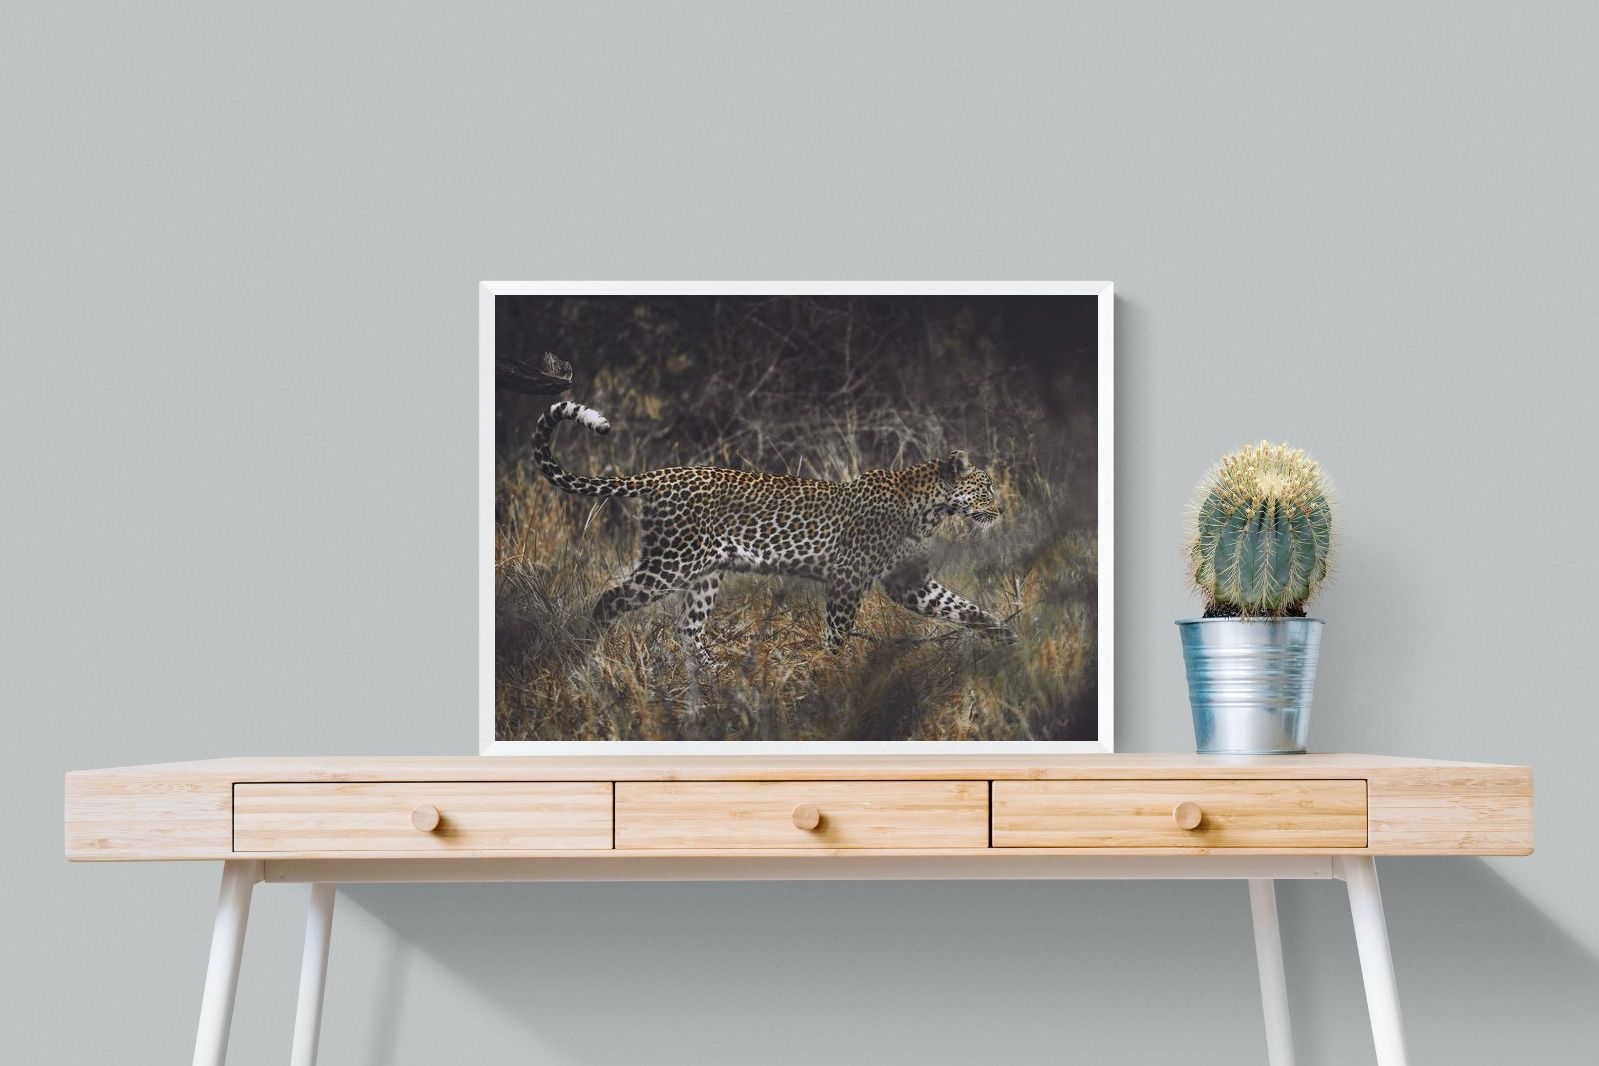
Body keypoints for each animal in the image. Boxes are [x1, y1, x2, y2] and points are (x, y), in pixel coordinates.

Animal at [532, 400, 1016, 665]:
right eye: (987, 486)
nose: (1001, 508)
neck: (930, 508)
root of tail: (661, 474)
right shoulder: (847, 579)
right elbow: (837, 633)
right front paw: (831, 674)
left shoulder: (909, 583)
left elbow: (962, 607)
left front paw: (1006, 636)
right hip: (671, 562)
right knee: (610, 599)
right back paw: (589, 656)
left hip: (706, 571)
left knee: (688, 628)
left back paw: (716, 679)